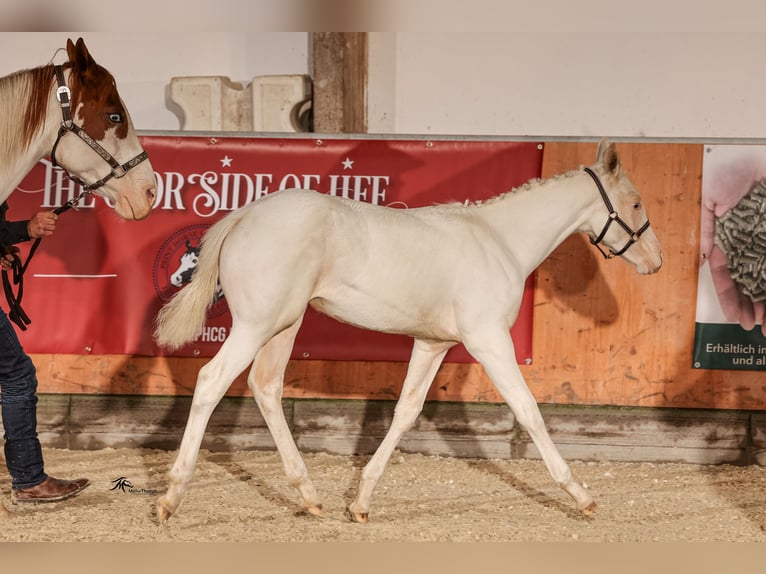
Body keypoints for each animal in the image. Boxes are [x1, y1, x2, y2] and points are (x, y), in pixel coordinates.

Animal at [153, 140, 664, 528]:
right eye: (636, 202)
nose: (656, 262)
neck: (498, 242)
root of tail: (244, 216)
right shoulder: (489, 341)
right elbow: (528, 410)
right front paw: (580, 495)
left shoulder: (433, 344)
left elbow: (406, 412)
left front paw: (360, 503)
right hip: (257, 324)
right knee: (211, 381)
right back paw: (171, 498)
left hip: (283, 325)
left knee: (266, 388)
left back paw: (310, 495)